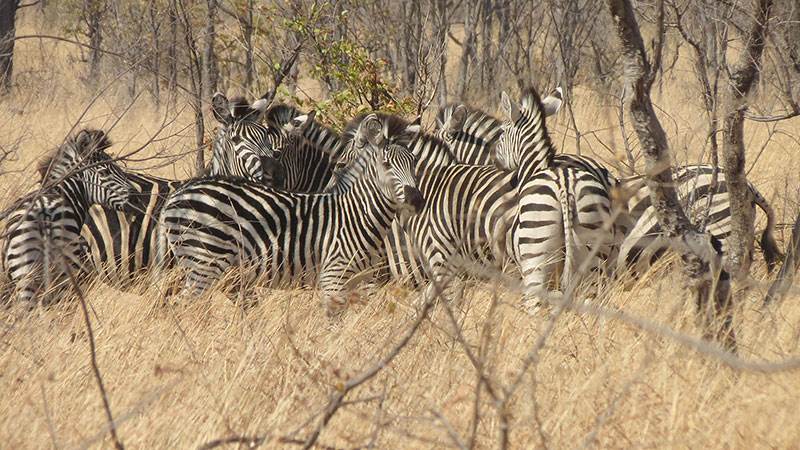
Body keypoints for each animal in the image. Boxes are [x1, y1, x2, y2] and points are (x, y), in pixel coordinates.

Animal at [159, 114, 428, 314]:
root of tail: (177, 195)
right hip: (203, 263)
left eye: (414, 162)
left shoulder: (362, 280)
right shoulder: (334, 278)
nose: (416, 199)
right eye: (386, 165)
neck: (357, 214)